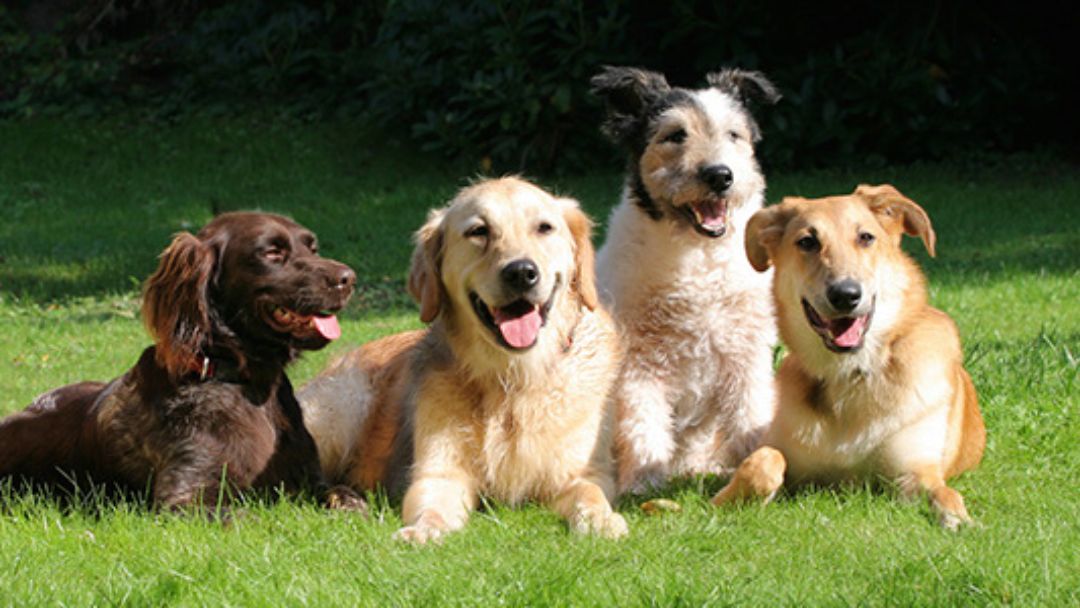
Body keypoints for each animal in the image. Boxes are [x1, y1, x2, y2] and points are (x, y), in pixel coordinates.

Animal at [0, 213, 362, 514]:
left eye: (313, 248)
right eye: (272, 253)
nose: (349, 278)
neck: (247, 381)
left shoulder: (312, 480)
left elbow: (349, 499)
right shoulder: (183, 499)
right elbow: (246, 516)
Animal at [300, 176, 630, 542]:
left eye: (544, 228)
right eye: (478, 231)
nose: (521, 272)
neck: (513, 378)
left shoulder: (583, 471)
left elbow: (591, 493)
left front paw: (602, 520)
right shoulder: (437, 473)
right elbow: (431, 505)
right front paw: (423, 530)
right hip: (344, 407)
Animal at [712, 184, 984, 529]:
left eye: (866, 237)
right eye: (807, 241)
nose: (845, 295)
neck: (850, 374)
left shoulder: (916, 472)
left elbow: (945, 493)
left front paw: (959, 519)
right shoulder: (786, 458)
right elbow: (764, 461)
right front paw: (725, 500)